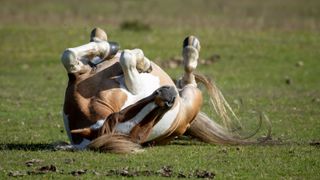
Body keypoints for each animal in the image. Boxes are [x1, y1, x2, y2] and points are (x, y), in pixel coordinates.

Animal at [59, 27, 270, 153]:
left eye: (121, 114)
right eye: (139, 137)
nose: (168, 97)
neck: (91, 101)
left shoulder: (82, 73)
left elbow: (69, 56)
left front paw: (117, 51)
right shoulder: (136, 88)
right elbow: (125, 58)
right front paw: (134, 58)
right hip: (190, 97)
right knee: (189, 79)